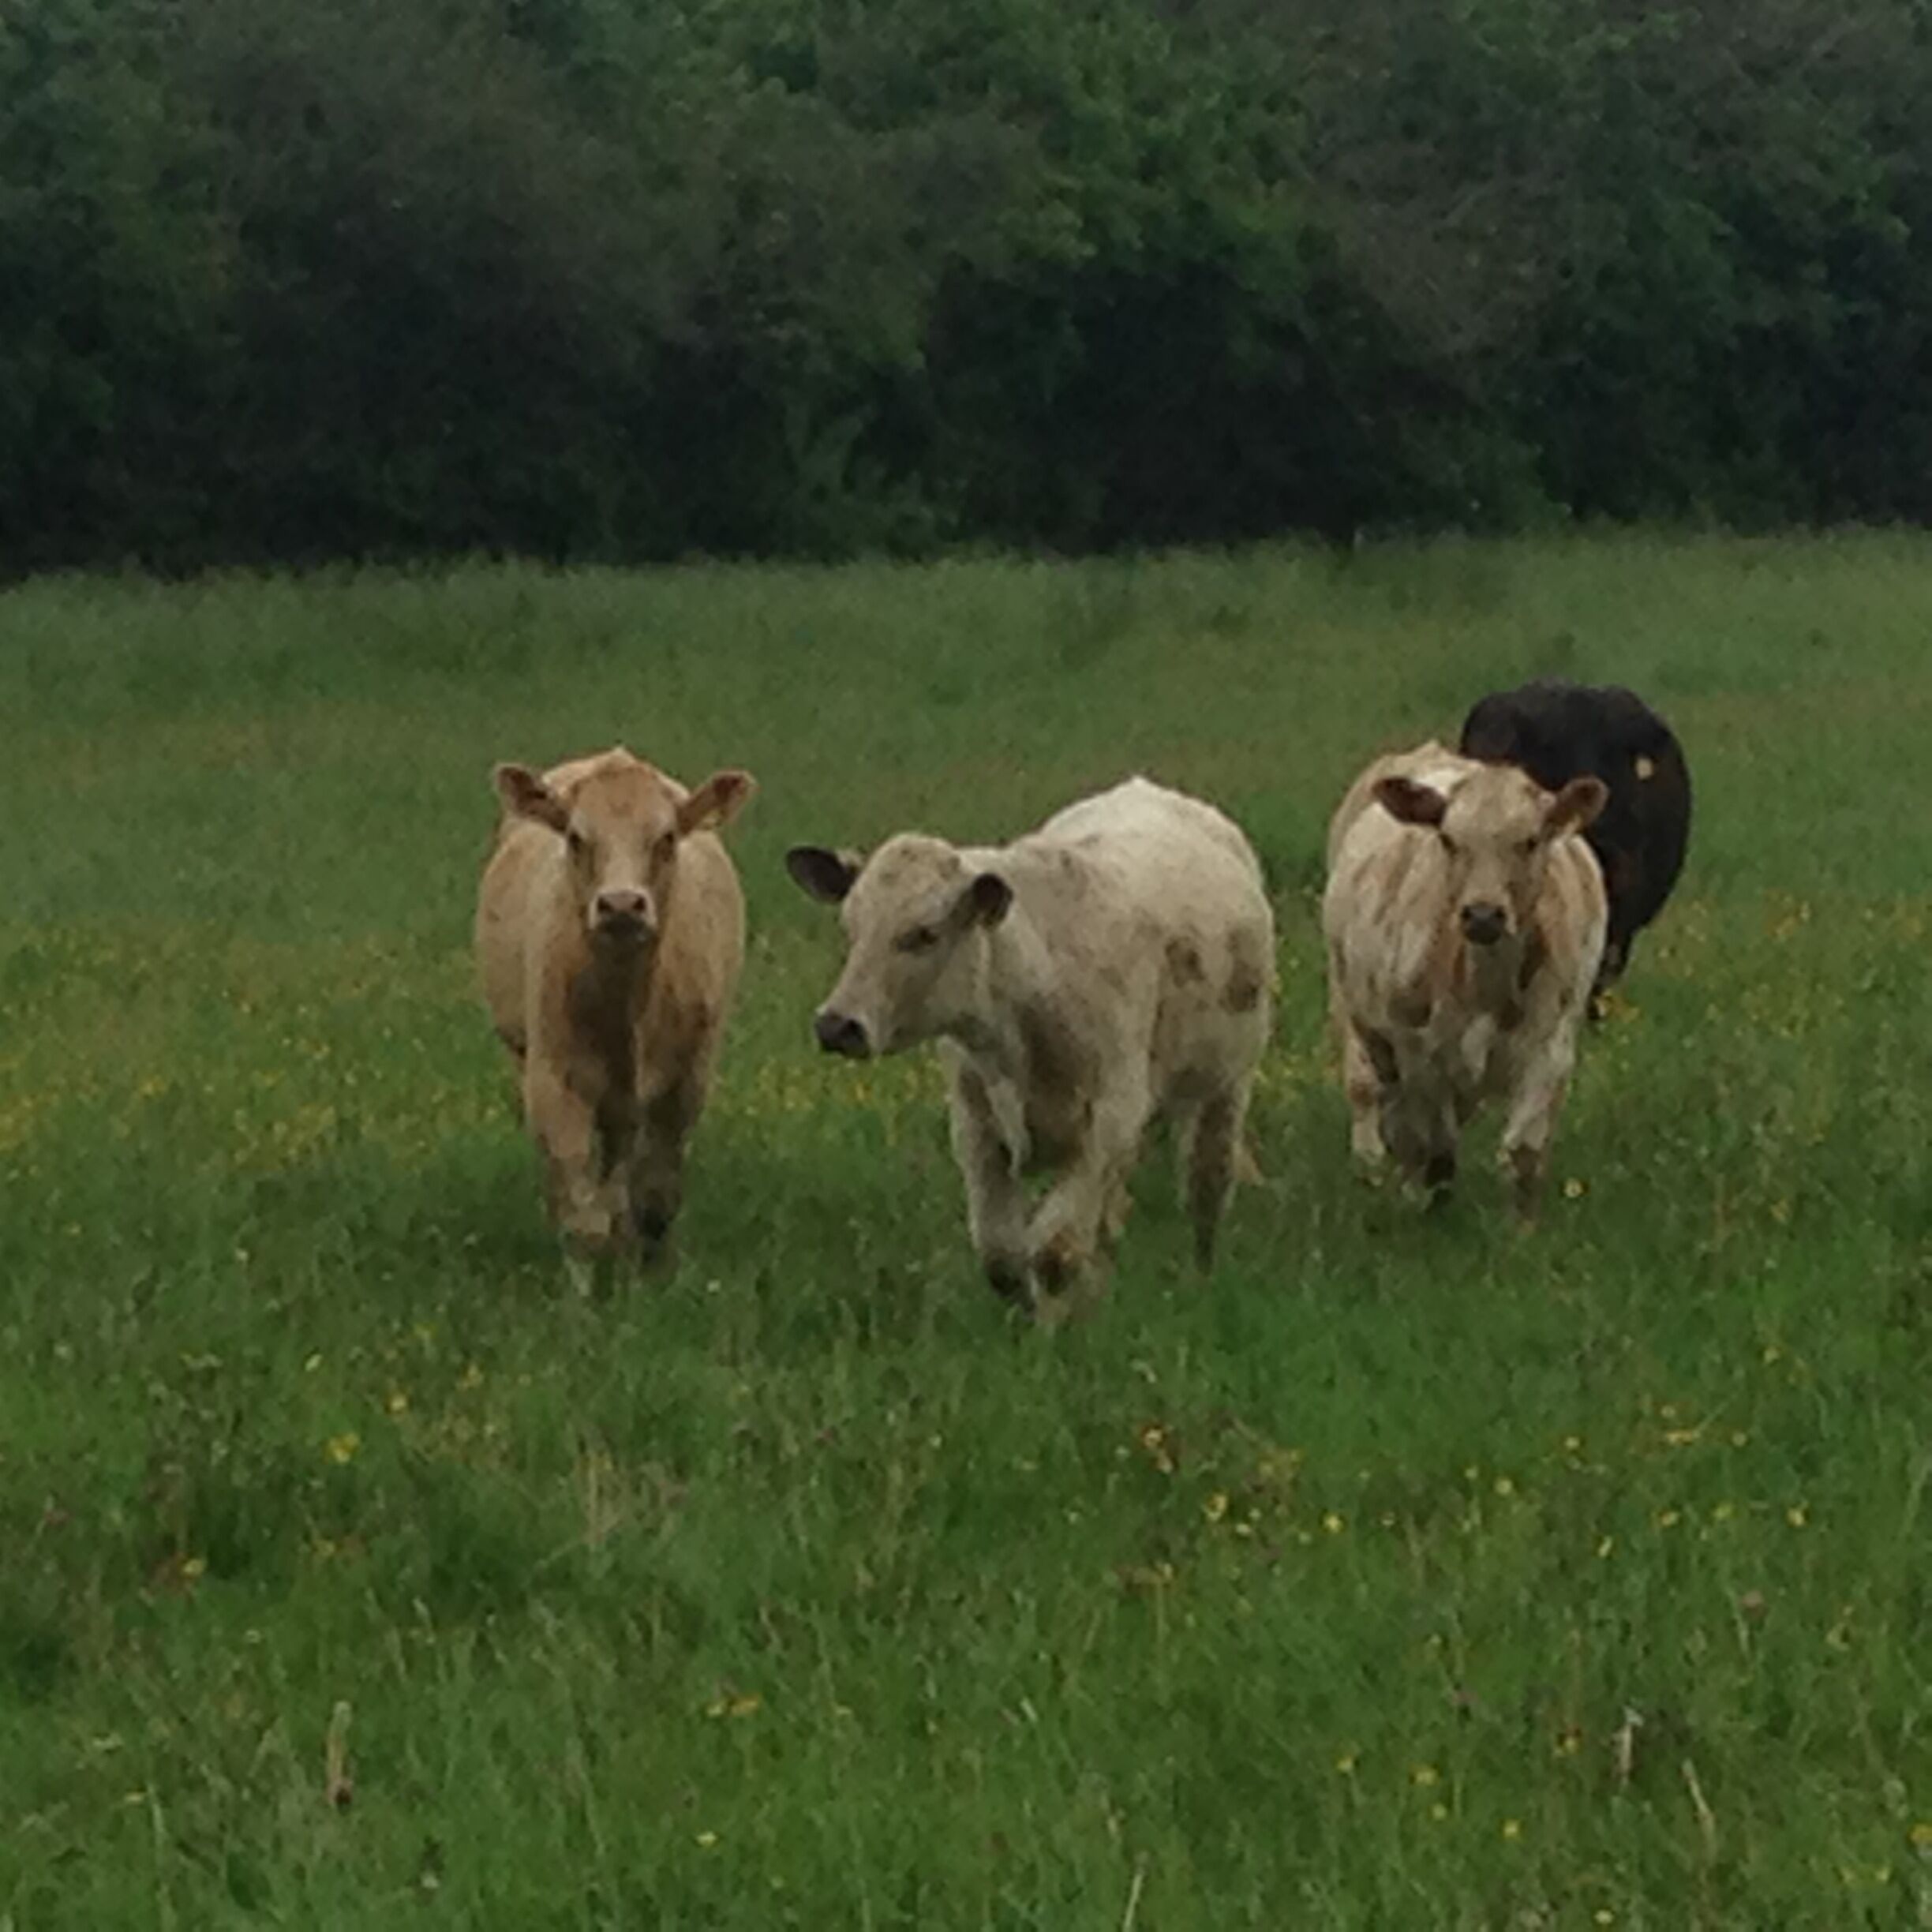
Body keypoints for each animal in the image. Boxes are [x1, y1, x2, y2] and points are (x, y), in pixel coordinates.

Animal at [475, 746, 754, 1273]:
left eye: (666, 838)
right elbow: (583, 1220)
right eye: (576, 838)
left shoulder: (684, 1086)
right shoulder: (553, 1084)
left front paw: (653, 1279)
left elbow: (655, 1201)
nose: (622, 905)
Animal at [785, 776, 1275, 1312]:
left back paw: (1201, 1279)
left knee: (1207, 1192)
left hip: (1226, 1090)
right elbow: (1001, 1257)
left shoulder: (1109, 1122)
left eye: (924, 934)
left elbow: (1054, 1252)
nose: (837, 1025)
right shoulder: (976, 1126)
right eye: (849, 928)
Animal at [1322, 742, 1607, 1218]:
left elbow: (1523, 1153)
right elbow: (1433, 1147)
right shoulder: (1420, 1054)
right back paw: (1373, 1165)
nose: (1483, 915)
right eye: (1449, 840)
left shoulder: (1550, 1049)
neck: (1487, 987)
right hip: (1352, 1008)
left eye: (1530, 841)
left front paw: (1520, 1228)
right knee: (1370, 1095)